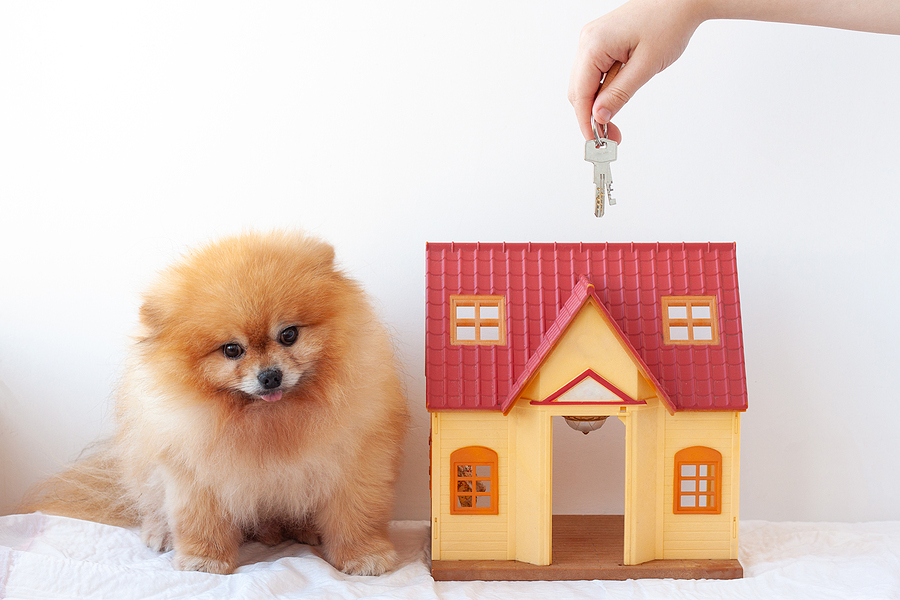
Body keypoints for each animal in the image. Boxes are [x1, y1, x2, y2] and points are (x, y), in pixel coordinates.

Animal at [22, 231, 408, 576]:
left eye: (289, 335)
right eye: (232, 350)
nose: (270, 376)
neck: (268, 420)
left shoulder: (355, 461)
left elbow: (357, 516)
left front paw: (365, 557)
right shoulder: (195, 471)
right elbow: (200, 519)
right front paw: (203, 561)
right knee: (152, 504)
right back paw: (161, 533)